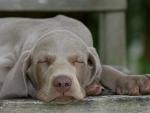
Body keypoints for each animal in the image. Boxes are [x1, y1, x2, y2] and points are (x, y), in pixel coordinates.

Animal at [0, 15, 149, 102]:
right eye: (43, 61)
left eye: (78, 61)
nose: (62, 83)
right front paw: (92, 87)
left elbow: (104, 68)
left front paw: (134, 80)